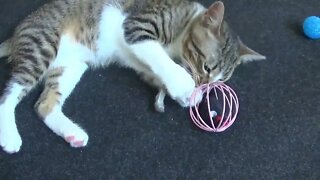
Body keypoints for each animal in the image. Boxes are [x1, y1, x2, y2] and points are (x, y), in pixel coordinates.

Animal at [0, 0, 264, 154]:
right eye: (207, 67)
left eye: (220, 81)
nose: (205, 86)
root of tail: (16, 35)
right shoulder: (137, 27)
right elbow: (161, 58)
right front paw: (184, 85)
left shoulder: (138, 61)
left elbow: (153, 70)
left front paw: (178, 95)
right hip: (41, 47)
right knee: (9, 94)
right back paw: (10, 136)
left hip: (70, 67)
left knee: (44, 105)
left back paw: (72, 133)